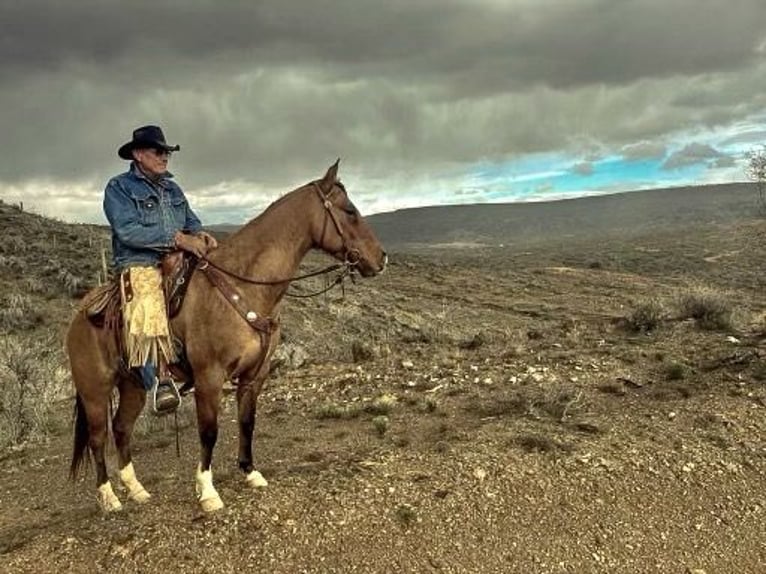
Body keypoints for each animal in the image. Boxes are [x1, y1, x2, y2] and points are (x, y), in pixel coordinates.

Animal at [67, 161, 388, 512]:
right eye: (350, 211)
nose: (381, 258)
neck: (243, 286)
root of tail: (80, 314)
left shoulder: (254, 375)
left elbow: (247, 422)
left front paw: (250, 472)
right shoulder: (209, 377)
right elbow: (209, 431)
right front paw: (207, 491)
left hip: (133, 384)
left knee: (122, 428)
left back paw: (137, 490)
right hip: (95, 390)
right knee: (99, 437)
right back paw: (109, 497)